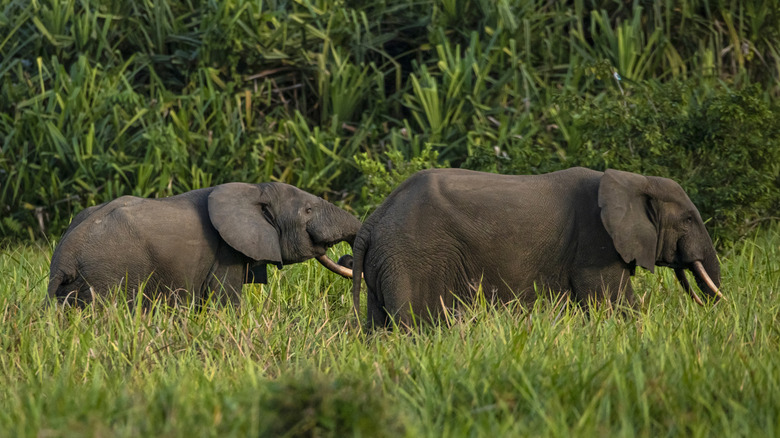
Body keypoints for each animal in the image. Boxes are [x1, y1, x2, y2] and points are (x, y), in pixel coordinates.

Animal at [48, 182, 361, 306]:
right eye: (308, 211)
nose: (347, 258)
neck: (255, 189)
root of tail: (64, 259)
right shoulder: (225, 253)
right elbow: (225, 303)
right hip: (108, 276)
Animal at [351, 167, 725, 328]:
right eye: (688, 219)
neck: (633, 179)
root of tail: (372, 221)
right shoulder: (595, 244)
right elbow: (613, 302)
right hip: (411, 258)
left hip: (387, 261)